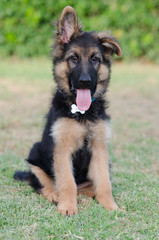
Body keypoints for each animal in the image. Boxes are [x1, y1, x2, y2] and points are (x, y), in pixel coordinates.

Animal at [14, 6, 121, 216]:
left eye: (95, 59)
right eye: (73, 58)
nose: (85, 81)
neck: (82, 113)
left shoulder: (99, 148)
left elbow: (104, 182)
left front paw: (110, 205)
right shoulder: (62, 148)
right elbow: (66, 182)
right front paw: (68, 206)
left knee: (89, 186)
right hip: (35, 153)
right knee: (42, 184)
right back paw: (54, 195)